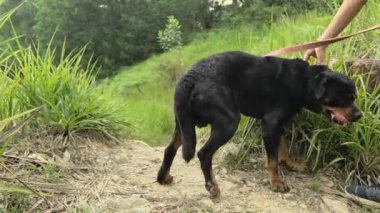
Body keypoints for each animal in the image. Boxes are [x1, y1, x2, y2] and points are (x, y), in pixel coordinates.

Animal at [157, 50, 362, 197]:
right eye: (345, 97)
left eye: (354, 97)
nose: (359, 115)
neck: (303, 82)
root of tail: (190, 76)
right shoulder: (270, 123)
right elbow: (272, 160)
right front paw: (276, 183)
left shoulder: (279, 124)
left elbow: (283, 148)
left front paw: (291, 164)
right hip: (228, 122)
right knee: (203, 153)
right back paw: (212, 186)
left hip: (183, 124)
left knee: (170, 149)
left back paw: (162, 177)